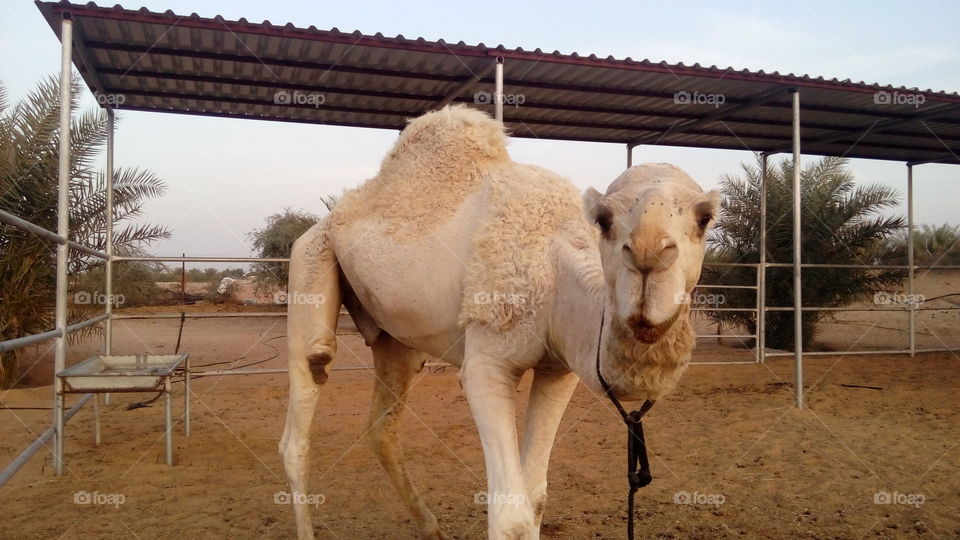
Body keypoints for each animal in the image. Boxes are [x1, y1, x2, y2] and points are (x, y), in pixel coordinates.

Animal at [279, 105, 719, 539]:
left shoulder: (559, 370)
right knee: (303, 408)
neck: (554, 270)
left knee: (382, 426)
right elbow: (510, 515)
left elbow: (536, 495)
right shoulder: (487, 366)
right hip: (309, 261)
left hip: (395, 339)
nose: (648, 253)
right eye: (606, 219)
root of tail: (329, 219)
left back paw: (432, 529)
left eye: (705, 219)